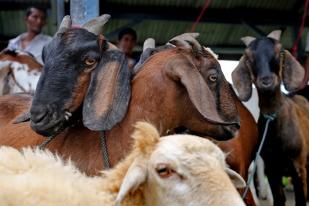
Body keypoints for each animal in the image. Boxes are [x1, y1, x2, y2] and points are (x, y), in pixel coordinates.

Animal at [231, 29, 308, 206]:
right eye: (248, 57)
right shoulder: (272, 169)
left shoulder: (299, 167)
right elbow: (279, 200)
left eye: (279, 52)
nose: (266, 81)